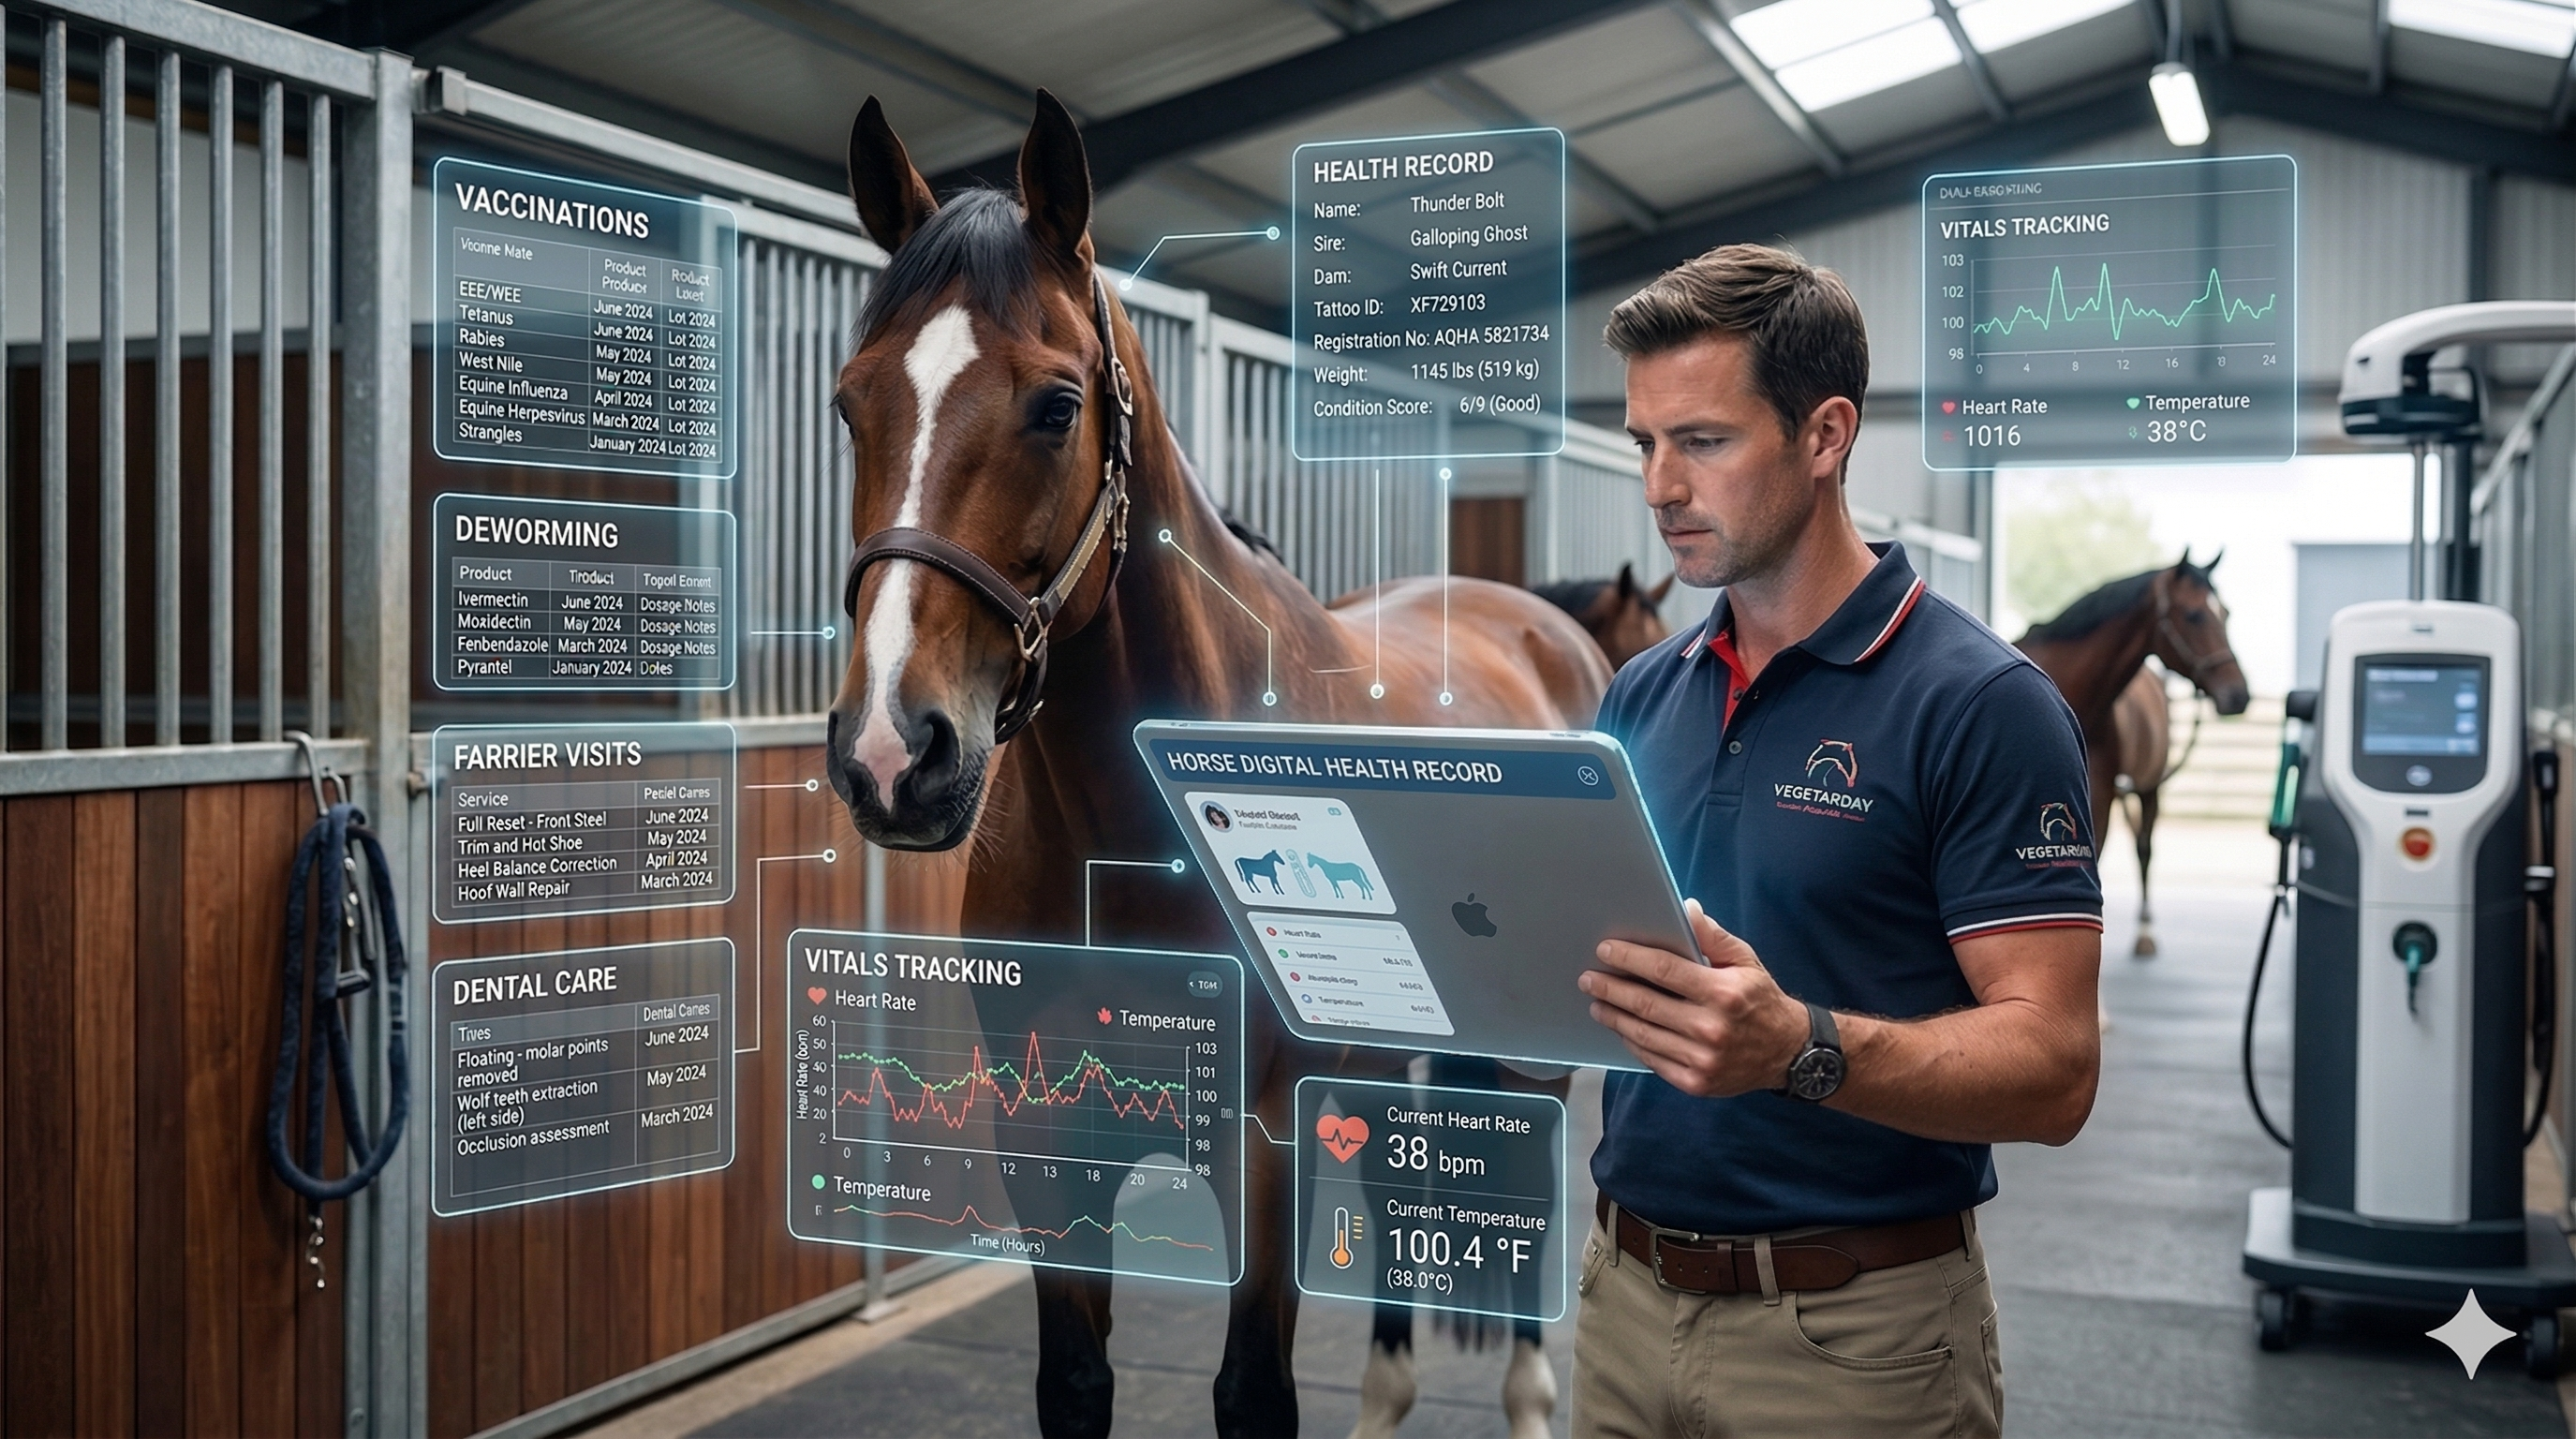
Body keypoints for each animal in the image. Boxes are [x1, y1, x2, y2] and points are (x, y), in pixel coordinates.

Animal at [821, 92, 1611, 1439]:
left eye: (1056, 407)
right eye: (848, 402)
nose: (890, 750)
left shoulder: (1264, 1143)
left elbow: (1252, 1392)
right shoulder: (1045, 1144)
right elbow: (1073, 1384)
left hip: (1539, 1057)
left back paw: (1524, 1395)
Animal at [2013, 552, 2250, 957]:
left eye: (2227, 614)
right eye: (2194, 615)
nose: (2238, 695)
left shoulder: (2099, 800)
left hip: (2149, 789)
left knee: (2144, 849)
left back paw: (2144, 934)